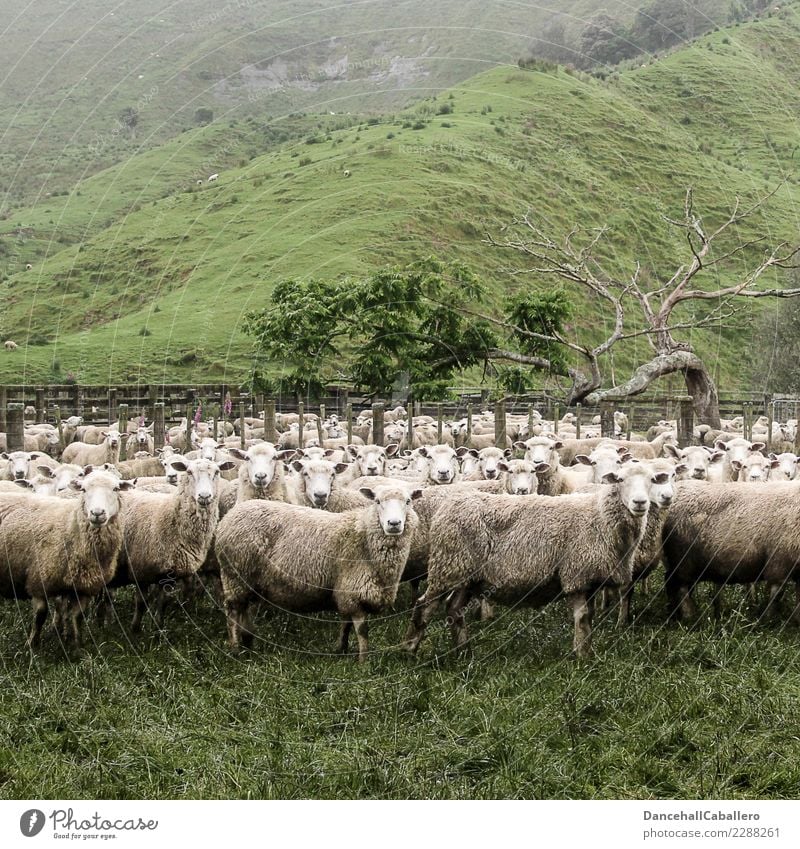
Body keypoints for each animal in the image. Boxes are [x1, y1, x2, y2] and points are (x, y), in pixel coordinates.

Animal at [0, 470, 134, 644]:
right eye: (83, 489)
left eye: (116, 488)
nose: (97, 513)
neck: (70, 525)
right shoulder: (39, 580)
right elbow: (40, 615)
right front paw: (33, 644)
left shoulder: (84, 587)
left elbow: (78, 617)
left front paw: (77, 644)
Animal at [106, 458, 233, 628]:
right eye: (189, 472)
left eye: (217, 472)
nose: (204, 496)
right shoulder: (140, 568)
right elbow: (141, 603)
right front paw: (135, 629)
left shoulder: (169, 573)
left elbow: (163, 601)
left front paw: (158, 627)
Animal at [216, 480, 422, 660]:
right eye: (377, 501)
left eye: (408, 501)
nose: (394, 523)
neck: (365, 539)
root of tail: (228, 517)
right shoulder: (352, 592)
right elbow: (362, 631)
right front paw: (364, 661)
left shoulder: (343, 592)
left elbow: (345, 624)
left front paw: (341, 649)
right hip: (234, 575)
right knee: (233, 611)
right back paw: (235, 648)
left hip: (248, 581)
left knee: (243, 610)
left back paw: (248, 642)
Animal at [406, 464, 656, 656]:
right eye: (621, 480)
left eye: (652, 480)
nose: (640, 502)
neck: (600, 516)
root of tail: (447, 507)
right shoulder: (576, 575)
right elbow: (583, 618)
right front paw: (582, 657)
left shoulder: (591, 578)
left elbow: (589, 618)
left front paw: (585, 652)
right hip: (448, 567)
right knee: (424, 606)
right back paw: (410, 649)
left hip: (466, 575)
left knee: (453, 609)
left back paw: (463, 652)